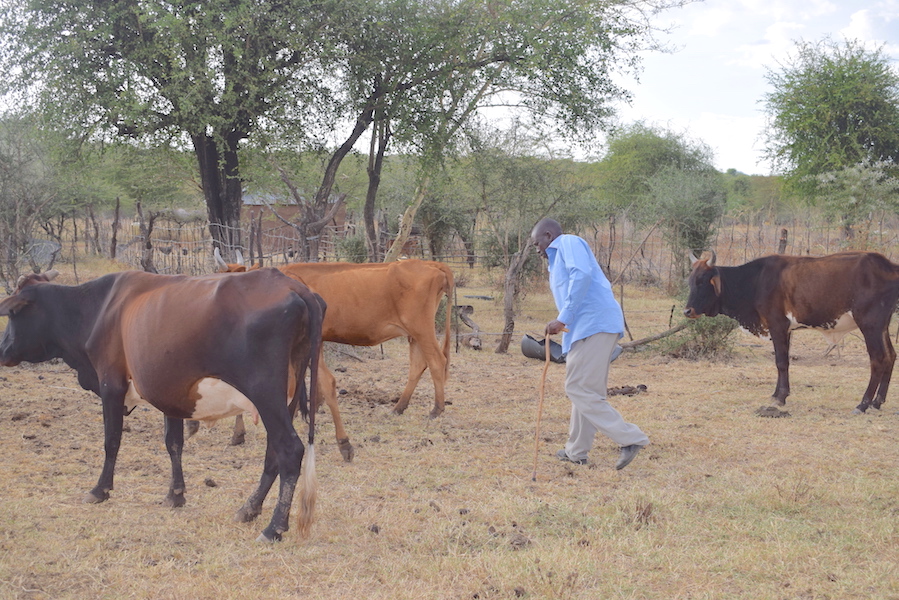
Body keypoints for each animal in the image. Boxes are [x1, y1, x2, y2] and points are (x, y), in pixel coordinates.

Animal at [0, 270, 326, 540]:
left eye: (13, 314)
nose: (2, 350)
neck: (99, 309)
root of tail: (294, 285)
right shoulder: (170, 393)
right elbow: (173, 443)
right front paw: (175, 494)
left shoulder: (111, 384)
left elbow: (111, 440)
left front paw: (99, 489)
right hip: (286, 398)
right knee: (274, 453)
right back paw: (249, 508)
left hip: (265, 393)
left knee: (289, 449)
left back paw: (274, 528)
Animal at [206, 252, 458, 460]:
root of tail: (430, 263)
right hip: (413, 334)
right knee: (418, 365)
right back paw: (399, 407)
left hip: (421, 328)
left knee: (437, 361)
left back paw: (437, 408)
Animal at [684, 251, 899, 414]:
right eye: (690, 281)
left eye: (702, 281)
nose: (687, 311)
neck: (755, 281)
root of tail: (887, 265)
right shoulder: (785, 330)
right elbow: (783, 362)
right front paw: (777, 394)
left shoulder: (777, 325)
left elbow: (781, 362)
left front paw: (780, 397)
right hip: (882, 326)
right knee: (890, 356)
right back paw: (877, 402)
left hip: (870, 325)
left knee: (878, 359)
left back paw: (863, 404)